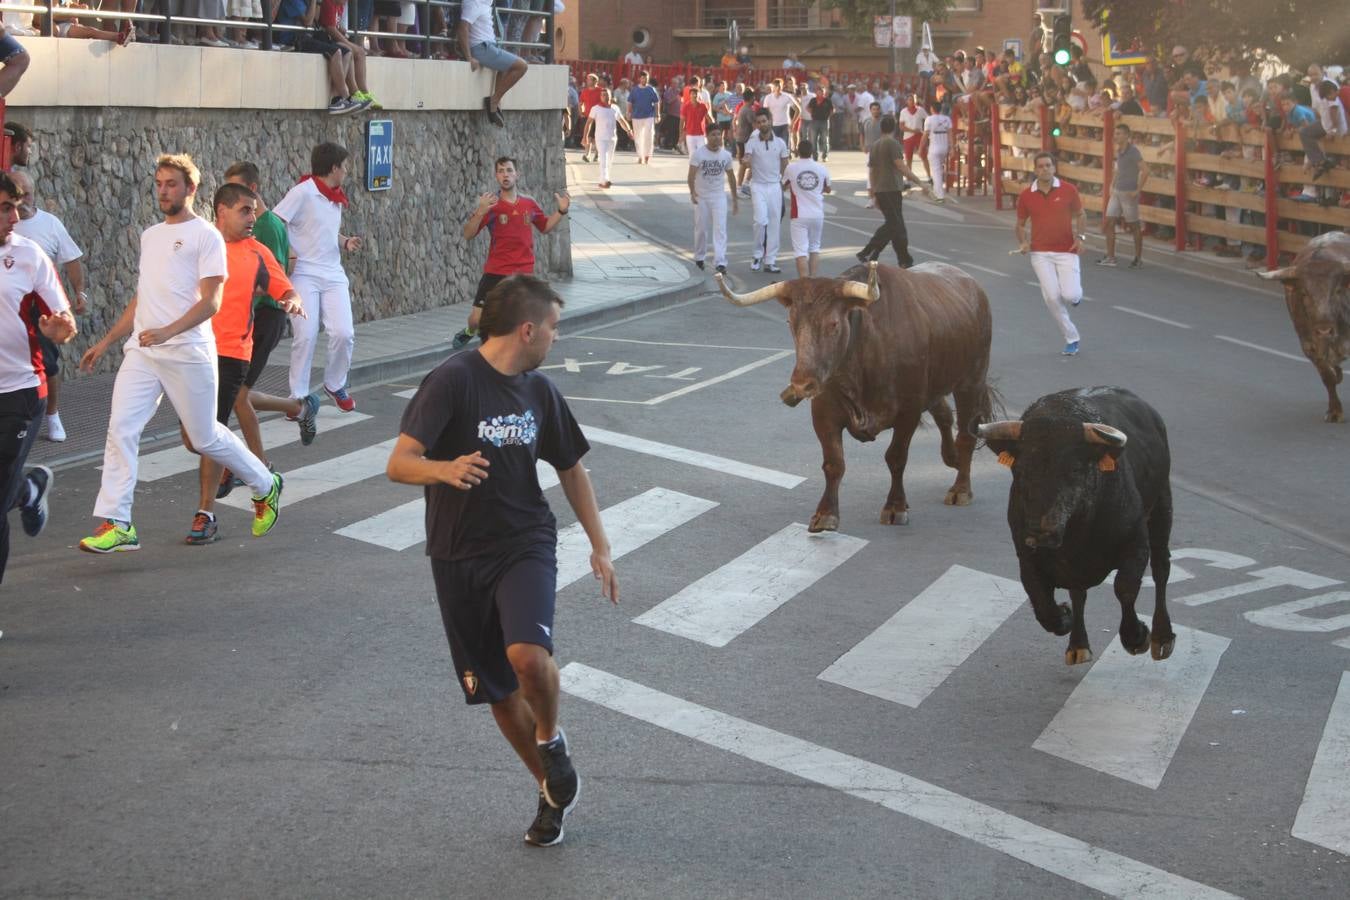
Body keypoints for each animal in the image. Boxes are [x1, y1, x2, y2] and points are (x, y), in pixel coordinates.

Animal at [718, 260, 993, 531]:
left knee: (966, 434)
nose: (801, 384)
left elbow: (896, 457)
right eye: (791, 323)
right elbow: (833, 463)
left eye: (834, 324)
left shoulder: (909, 411)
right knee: (944, 414)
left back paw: (961, 488)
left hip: (971, 382)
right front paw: (826, 514)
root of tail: (971, 283)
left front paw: (895, 506)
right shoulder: (824, 411)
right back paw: (953, 458)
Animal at [1258, 232, 1350, 423]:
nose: (1324, 330)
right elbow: (1328, 376)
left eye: (1337, 291)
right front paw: (1335, 411)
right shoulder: (1310, 347)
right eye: (1304, 293)